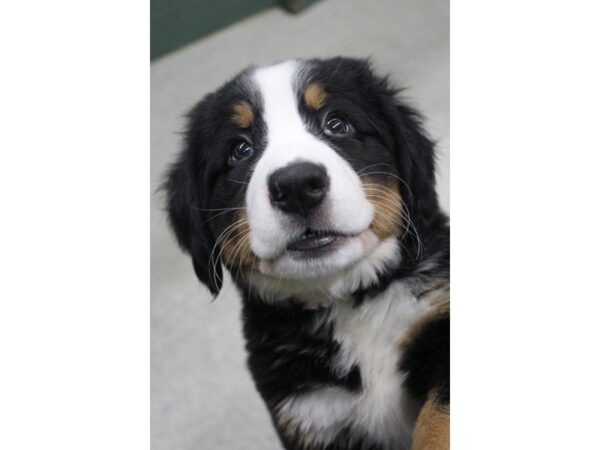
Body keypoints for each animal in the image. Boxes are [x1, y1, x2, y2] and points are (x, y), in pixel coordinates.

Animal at [164, 57, 450, 450]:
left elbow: (437, 423)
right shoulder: (308, 409)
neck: (349, 302)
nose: (297, 185)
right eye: (240, 150)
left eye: (337, 124)